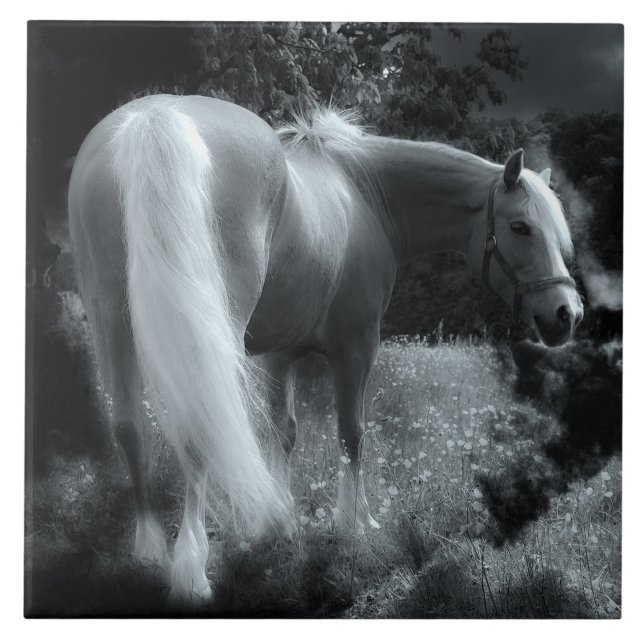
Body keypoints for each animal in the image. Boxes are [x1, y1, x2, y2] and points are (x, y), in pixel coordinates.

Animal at [68, 94, 583, 605]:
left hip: (113, 324)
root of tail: (155, 119)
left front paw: (278, 523)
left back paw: (149, 551)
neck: (365, 192)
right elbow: (352, 433)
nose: (567, 313)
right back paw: (192, 570)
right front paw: (356, 523)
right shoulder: (355, 346)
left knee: (130, 428)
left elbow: (283, 431)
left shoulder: (277, 354)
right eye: (520, 227)